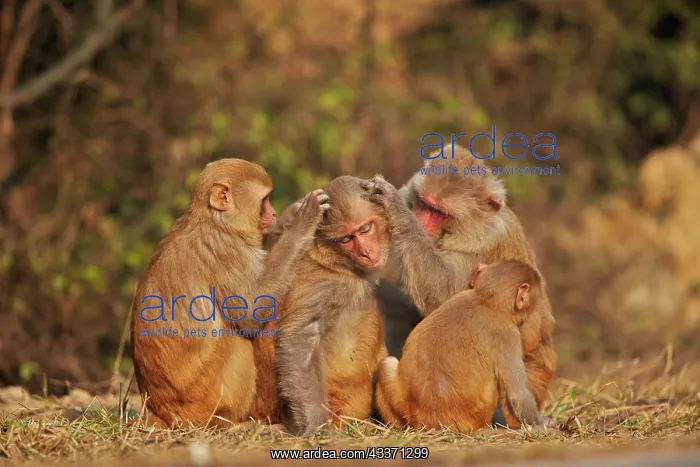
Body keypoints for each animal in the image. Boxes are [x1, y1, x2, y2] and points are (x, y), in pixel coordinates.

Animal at [130, 158, 329, 427]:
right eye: (265, 200)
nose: (273, 213)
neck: (214, 220)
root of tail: (158, 412)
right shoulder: (228, 251)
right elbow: (251, 313)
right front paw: (302, 222)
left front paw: (290, 217)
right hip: (201, 400)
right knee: (236, 336)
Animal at [274, 176, 390, 437]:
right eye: (346, 239)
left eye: (365, 229)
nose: (366, 253)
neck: (338, 263)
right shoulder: (329, 285)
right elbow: (301, 337)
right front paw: (316, 424)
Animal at [361, 144, 556, 412]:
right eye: (423, 203)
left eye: (437, 211)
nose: (419, 220)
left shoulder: (478, 246)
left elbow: (444, 295)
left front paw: (394, 206)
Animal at [375, 260, 556, 432]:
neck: (485, 301)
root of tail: (427, 417)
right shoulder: (507, 334)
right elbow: (517, 396)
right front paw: (545, 423)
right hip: (475, 416)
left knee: (387, 363)